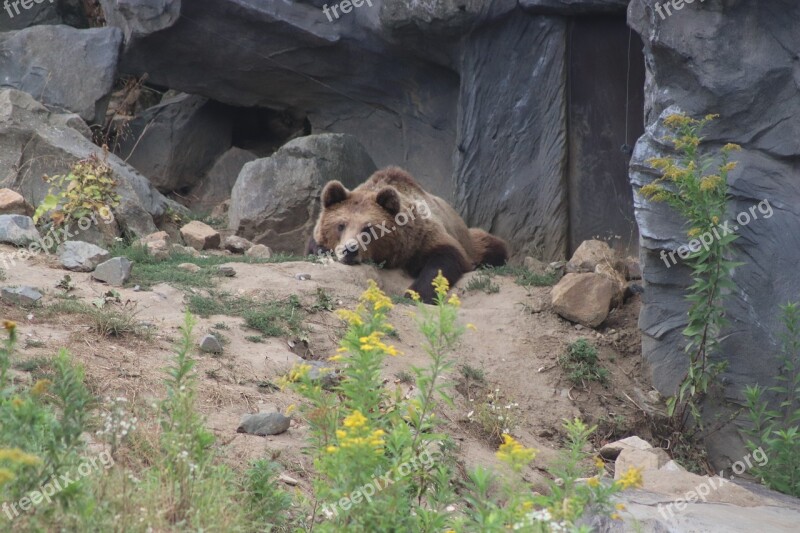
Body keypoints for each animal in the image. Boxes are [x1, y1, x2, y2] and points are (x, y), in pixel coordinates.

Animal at [306, 164, 506, 302]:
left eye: (368, 228)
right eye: (341, 225)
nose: (350, 249)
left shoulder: (425, 236)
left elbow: (445, 257)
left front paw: (415, 294)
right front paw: (323, 250)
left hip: (471, 241)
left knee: (492, 245)